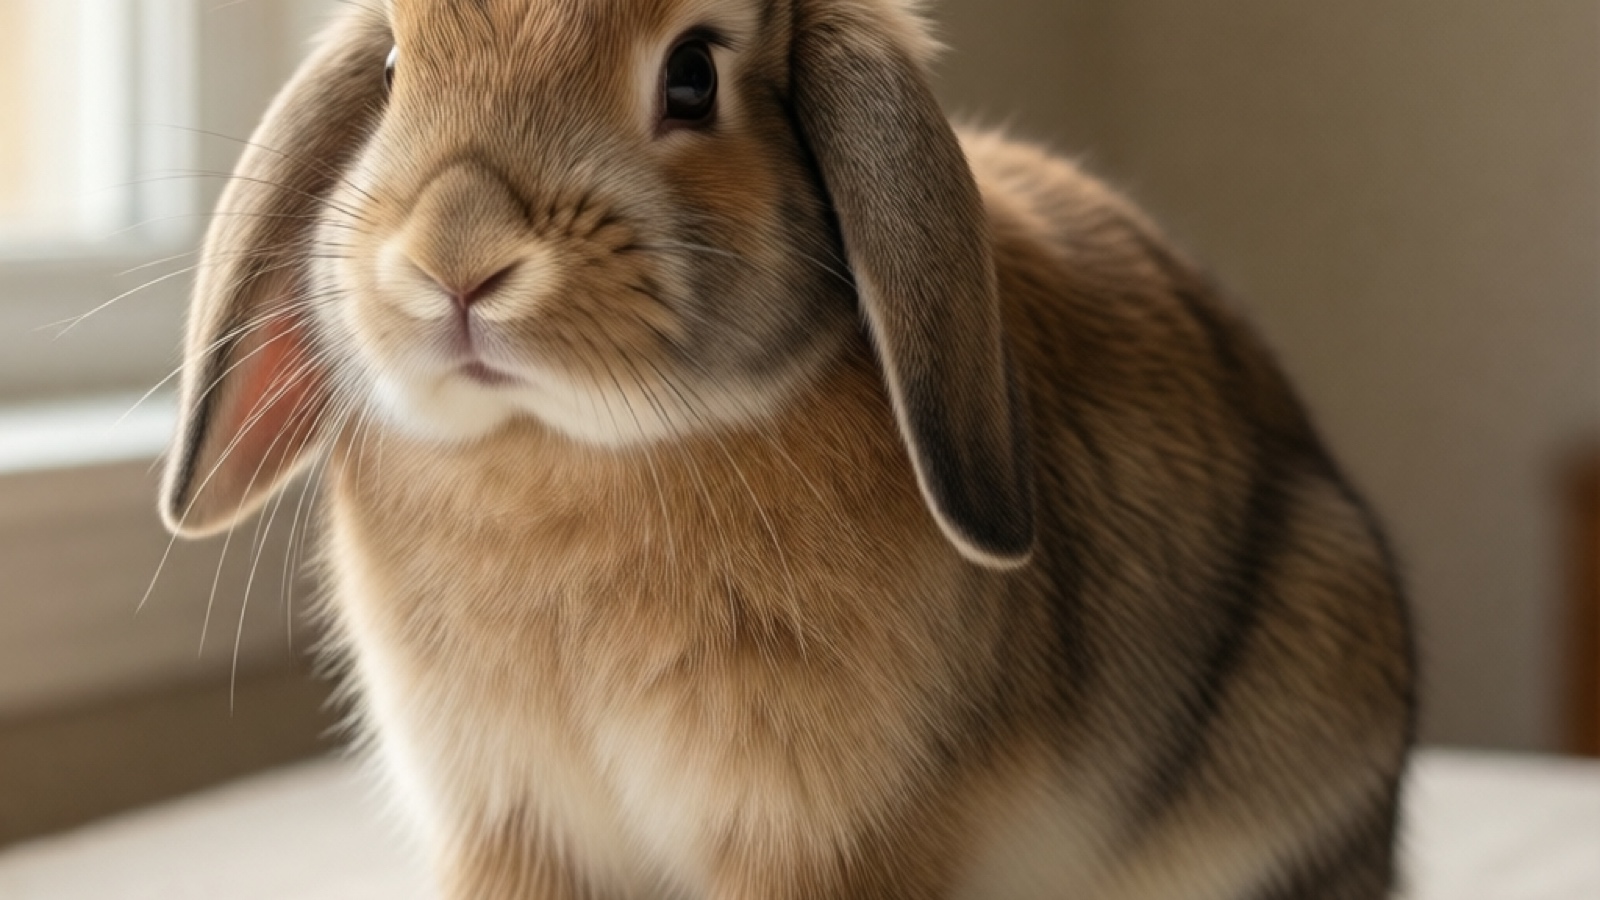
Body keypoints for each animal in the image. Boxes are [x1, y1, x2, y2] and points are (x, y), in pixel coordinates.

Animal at [159, 0, 1415, 898]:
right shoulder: (514, 828)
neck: (568, 449)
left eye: (692, 75)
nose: (456, 257)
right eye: (389, 70)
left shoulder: (825, 836)